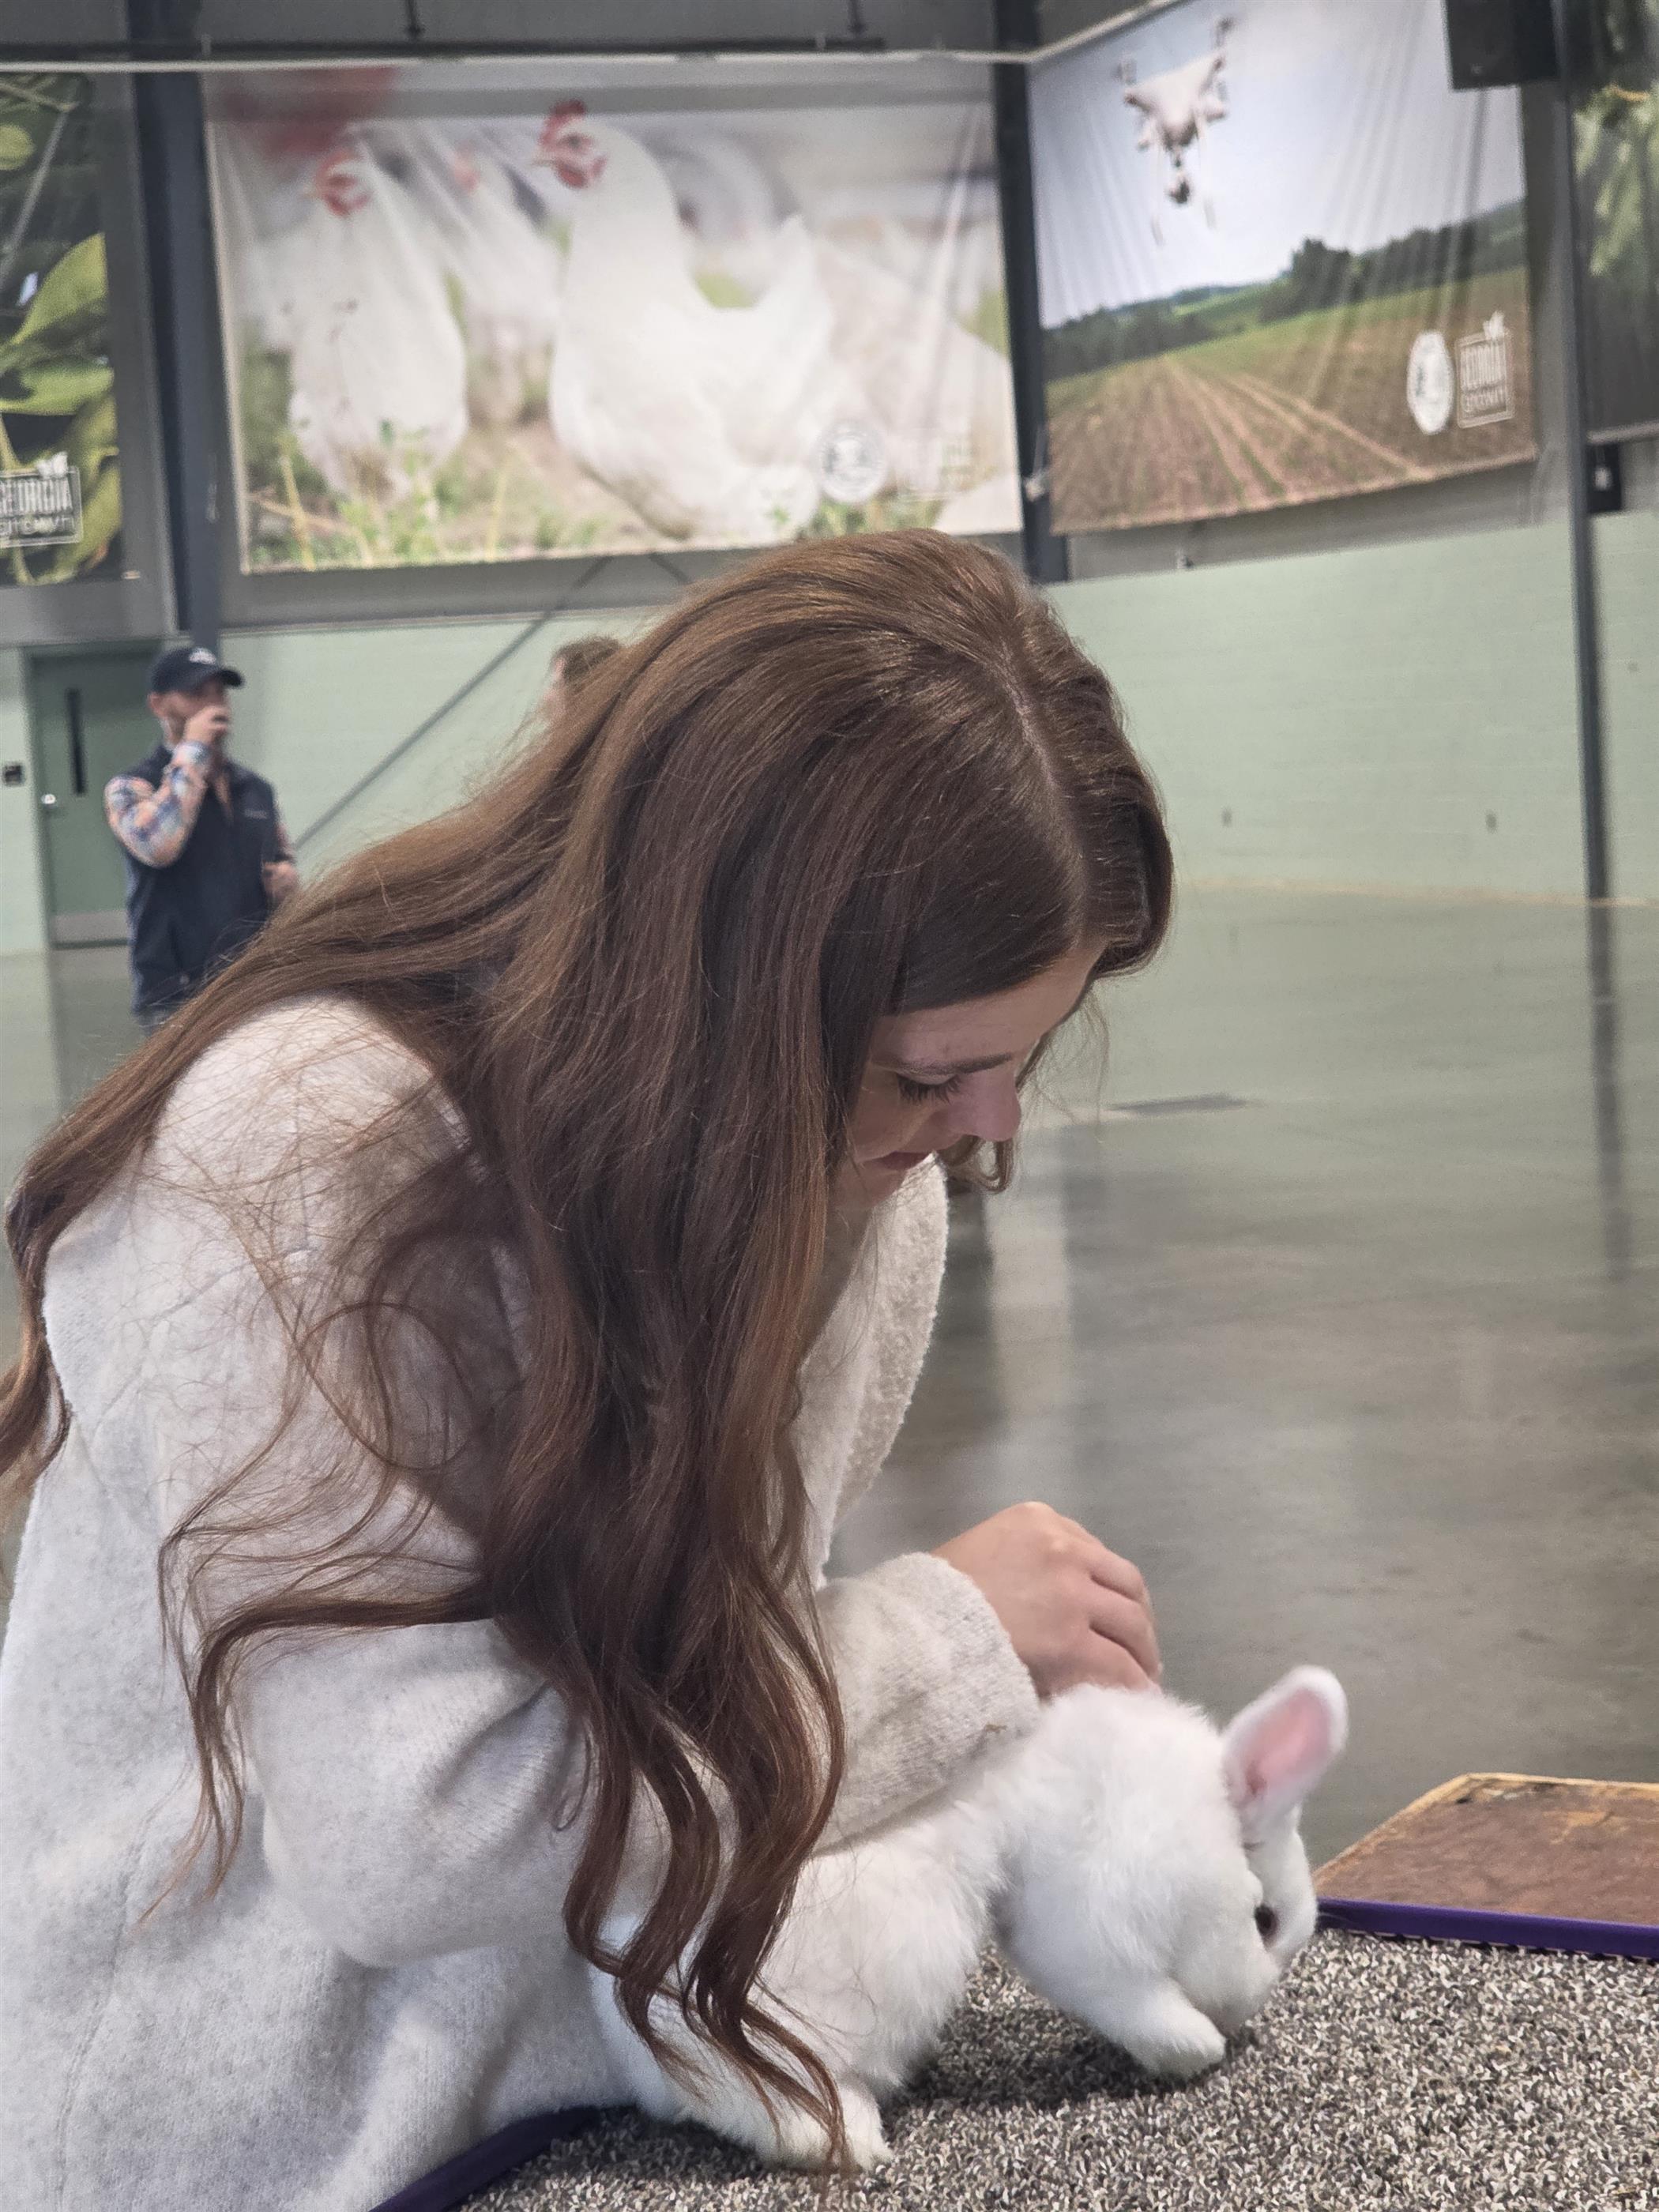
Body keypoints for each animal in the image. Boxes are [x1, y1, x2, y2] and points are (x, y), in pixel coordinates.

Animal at [589, 1664, 1348, 2172]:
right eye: (1265, 1921)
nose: (1241, 2012)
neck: (1184, 1817)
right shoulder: (1095, 1936)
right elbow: (1145, 2010)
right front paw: (1199, 2048)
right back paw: (856, 2141)